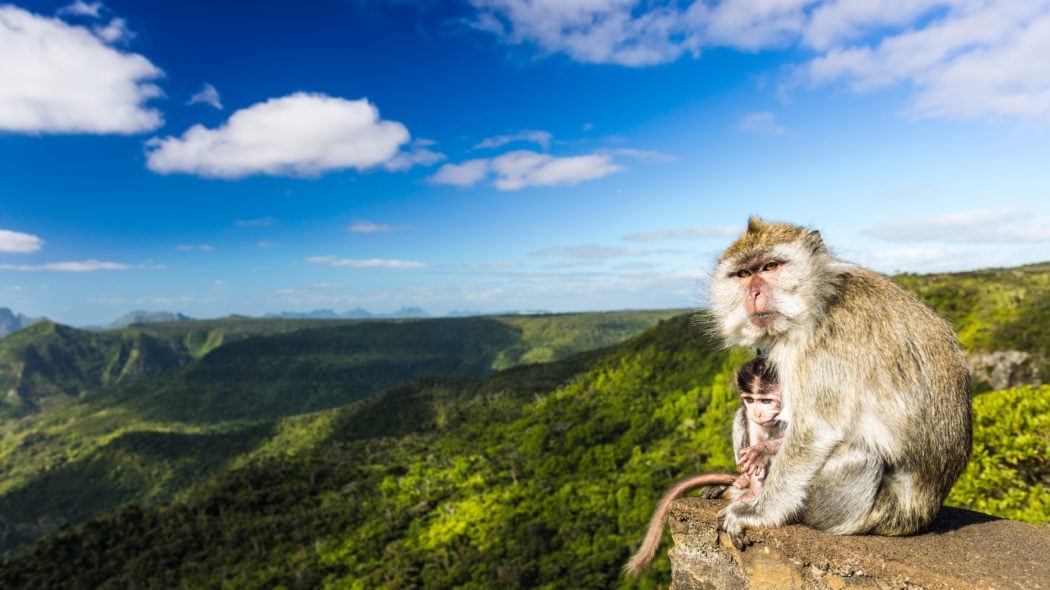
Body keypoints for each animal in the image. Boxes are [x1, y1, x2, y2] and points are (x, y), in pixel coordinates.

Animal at [708, 216, 971, 550]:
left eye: (770, 267)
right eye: (743, 274)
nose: (753, 295)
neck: (820, 299)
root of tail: (920, 516)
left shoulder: (825, 345)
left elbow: (814, 432)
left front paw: (756, 513)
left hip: (859, 515)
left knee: (860, 455)